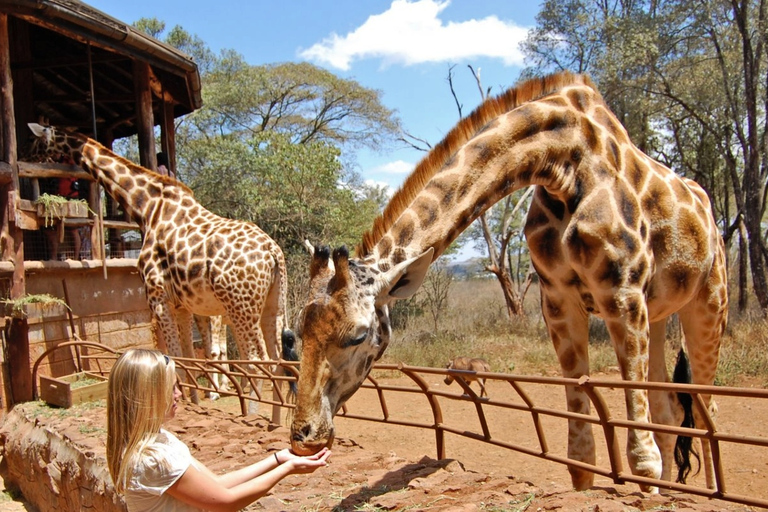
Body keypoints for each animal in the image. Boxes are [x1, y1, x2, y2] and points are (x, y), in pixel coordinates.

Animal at [26, 123, 292, 416]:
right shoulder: (182, 305)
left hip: (240, 306)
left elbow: (172, 356)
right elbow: (187, 357)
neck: (146, 207)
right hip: (272, 304)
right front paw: (192, 401)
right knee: (278, 360)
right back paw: (273, 420)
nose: (29, 161)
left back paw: (253, 416)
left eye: (35, 143)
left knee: (257, 361)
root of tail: (273, 253)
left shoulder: (157, 297)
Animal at [286, 73, 728, 492]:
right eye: (298, 332)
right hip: (659, 313)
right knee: (669, 406)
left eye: (359, 335)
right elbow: (580, 453)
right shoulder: (558, 302)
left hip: (707, 304)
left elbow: (642, 455)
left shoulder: (622, 292)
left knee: (708, 411)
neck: (563, 163)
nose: (304, 437)